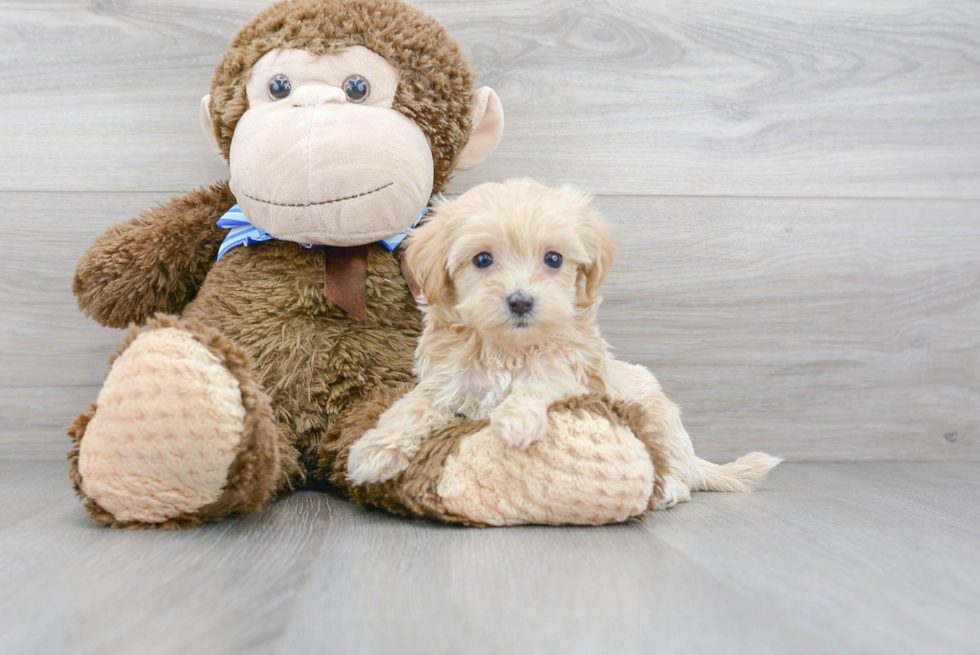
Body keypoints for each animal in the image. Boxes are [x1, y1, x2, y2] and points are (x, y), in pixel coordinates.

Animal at [348, 177, 776, 504]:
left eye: (553, 259)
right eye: (483, 259)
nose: (521, 300)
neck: (510, 348)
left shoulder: (574, 376)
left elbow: (541, 382)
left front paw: (516, 419)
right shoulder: (446, 383)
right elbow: (412, 407)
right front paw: (374, 450)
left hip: (659, 421)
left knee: (676, 472)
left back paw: (668, 489)